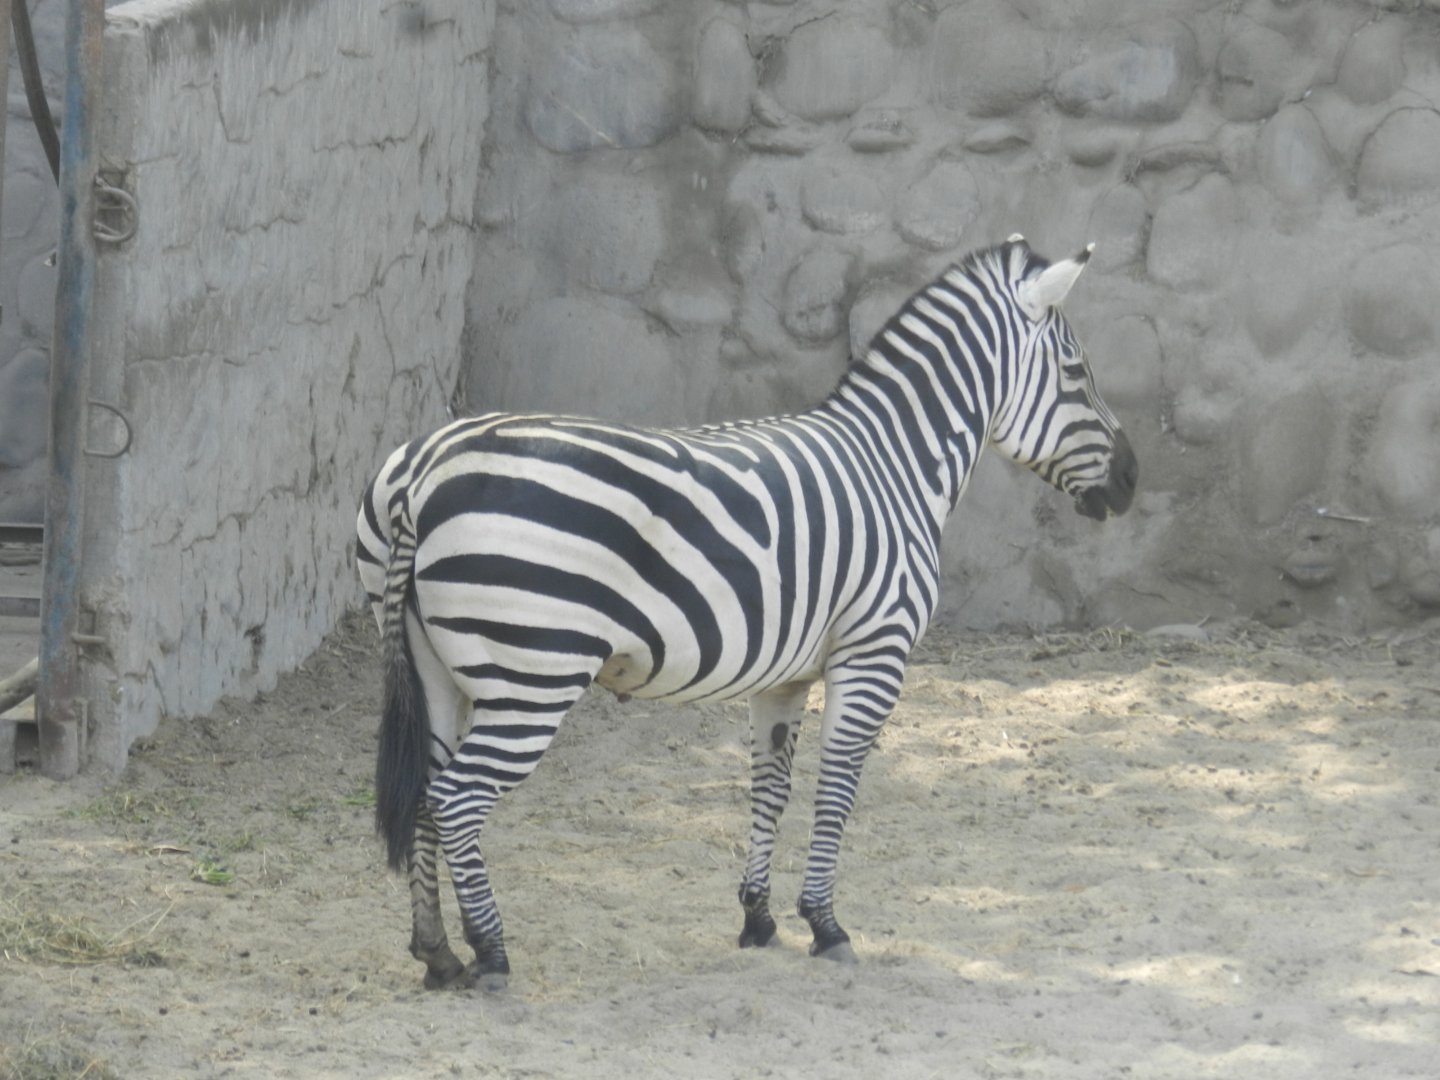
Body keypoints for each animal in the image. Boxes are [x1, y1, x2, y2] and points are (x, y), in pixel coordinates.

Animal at [355, 235, 1137, 991]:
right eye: (1077, 374)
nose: (1132, 481)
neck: (897, 466)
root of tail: (420, 475)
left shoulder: (784, 676)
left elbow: (772, 786)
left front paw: (758, 918)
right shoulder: (874, 653)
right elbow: (838, 786)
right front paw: (826, 924)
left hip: (435, 670)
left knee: (424, 793)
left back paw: (437, 953)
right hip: (532, 673)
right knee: (457, 798)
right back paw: (490, 955)